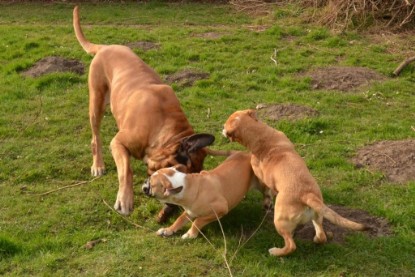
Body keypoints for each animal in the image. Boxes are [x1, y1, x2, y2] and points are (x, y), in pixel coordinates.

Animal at [72, 5, 214, 219]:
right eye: (176, 178)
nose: (174, 205)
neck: (165, 130)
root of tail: (105, 47)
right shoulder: (118, 143)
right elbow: (126, 171)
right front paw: (125, 200)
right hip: (96, 103)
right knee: (96, 137)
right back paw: (98, 165)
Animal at [142, 151, 272, 237]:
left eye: (151, 184)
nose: (143, 183)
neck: (187, 185)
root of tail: (246, 153)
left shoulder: (221, 209)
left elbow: (198, 221)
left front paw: (190, 234)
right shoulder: (190, 211)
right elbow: (180, 219)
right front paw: (168, 230)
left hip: (261, 181)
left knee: (267, 192)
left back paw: (268, 203)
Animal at [223, 109, 368, 256]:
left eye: (225, 125)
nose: (222, 129)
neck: (261, 136)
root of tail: (306, 195)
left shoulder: (262, 178)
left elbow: (266, 191)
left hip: (280, 221)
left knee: (291, 245)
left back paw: (275, 251)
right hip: (317, 214)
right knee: (321, 235)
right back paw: (316, 239)